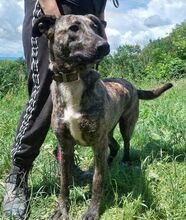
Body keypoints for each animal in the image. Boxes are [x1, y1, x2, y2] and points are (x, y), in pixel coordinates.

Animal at [32, 14, 173, 219]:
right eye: (74, 28)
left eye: (95, 27)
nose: (105, 46)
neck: (73, 78)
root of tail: (131, 84)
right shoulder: (65, 146)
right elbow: (64, 182)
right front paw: (62, 208)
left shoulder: (97, 143)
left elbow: (97, 181)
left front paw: (93, 210)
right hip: (107, 132)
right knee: (114, 146)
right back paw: (110, 162)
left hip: (126, 124)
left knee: (125, 143)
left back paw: (124, 161)